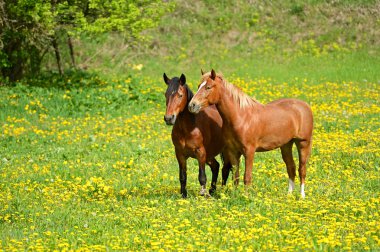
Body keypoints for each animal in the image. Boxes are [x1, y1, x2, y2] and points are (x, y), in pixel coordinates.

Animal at [189, 70, 314, 198]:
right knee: (291, 168)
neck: (241, 117)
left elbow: (247, 177)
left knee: (302, 170)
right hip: (286, 145)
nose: (192, 105)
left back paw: (302, 196)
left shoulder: (249, 151)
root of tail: (305, 106)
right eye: (199, 86)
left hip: (303, 143)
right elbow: (235, 176)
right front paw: (235, 196)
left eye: (208, 87)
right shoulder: (233, 151)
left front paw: (246, 196)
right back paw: (289, 196)